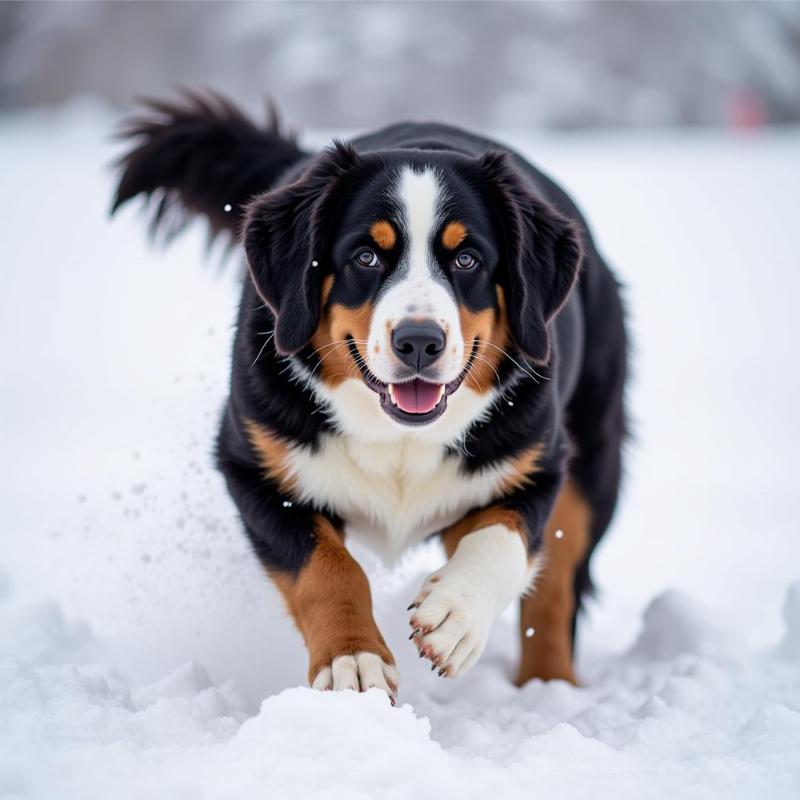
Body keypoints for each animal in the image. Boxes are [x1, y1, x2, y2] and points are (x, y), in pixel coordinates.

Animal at [111, 92, 624, 700]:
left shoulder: (537, 466)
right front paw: (352, 659)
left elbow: (500, 542)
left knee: (555, 591)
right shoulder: (255, 468)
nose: (419, 340)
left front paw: (454, 616)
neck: (399, 438)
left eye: (468, 259)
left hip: (593, 464)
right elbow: (327, 568)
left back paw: (549, 690)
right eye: (366, 257)